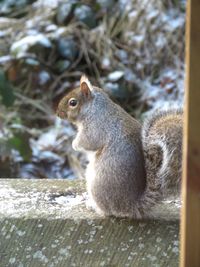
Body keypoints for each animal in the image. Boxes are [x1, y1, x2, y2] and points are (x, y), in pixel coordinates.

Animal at [56, 75, 183, 220]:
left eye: (73, 103)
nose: (58, 113)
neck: (93, 107)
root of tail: (130, 206)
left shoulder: (96, 127)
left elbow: (89, 141)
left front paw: (74, 144)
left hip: (98, 185)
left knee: (108, 211)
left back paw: (93, 206)